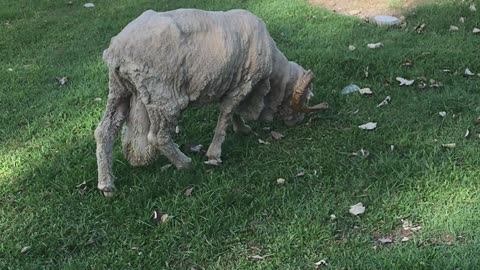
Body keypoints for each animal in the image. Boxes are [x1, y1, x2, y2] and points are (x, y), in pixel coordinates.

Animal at [94, 7, 326, 194]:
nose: (297, 122)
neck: (272, 78)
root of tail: (117, 49)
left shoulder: (233, 85)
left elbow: (232, 114)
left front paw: (241, 129)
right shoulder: (243, 85)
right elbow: (225, 116)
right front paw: (214, 154)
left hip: (120, 89)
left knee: (104, 131)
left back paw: (106, 185)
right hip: (162, 96)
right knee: (157, 137)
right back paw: (184, 163)